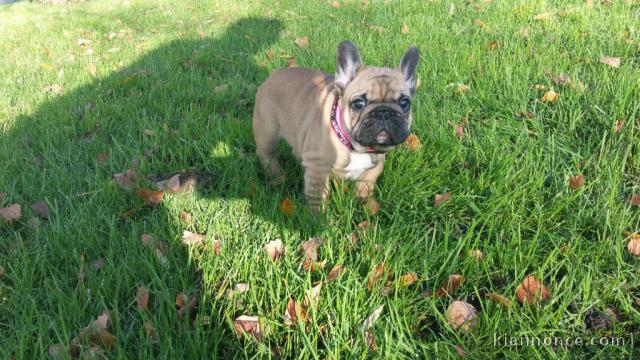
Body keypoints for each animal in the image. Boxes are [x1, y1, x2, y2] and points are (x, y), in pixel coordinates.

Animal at [252, 41, 418, 212]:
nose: (383, 112)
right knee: (266, 154)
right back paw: (277, 176)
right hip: (267, 131)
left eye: (405, 102)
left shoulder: (374, 168)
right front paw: (318, 217)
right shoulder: (317, 169)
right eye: (358, 103)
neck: (355, 146)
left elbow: (365, 188)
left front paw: (363, 205)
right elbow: (317, 198)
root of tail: (274, 74)